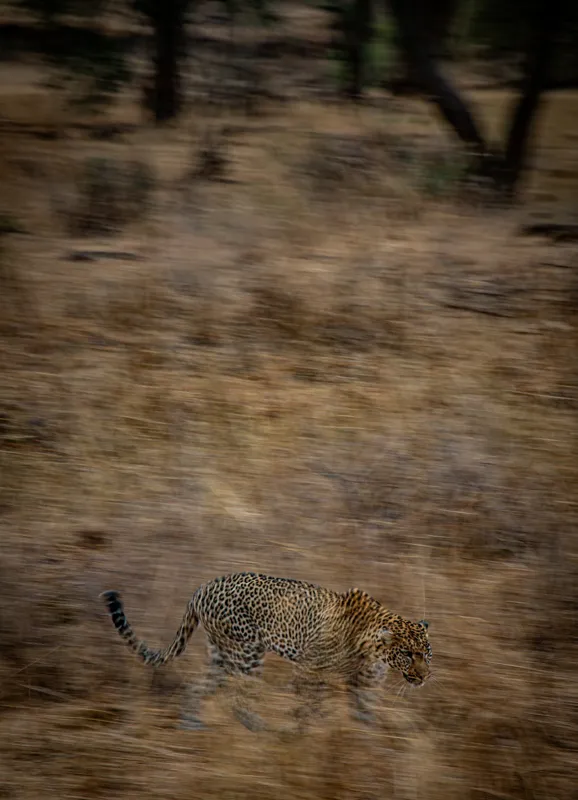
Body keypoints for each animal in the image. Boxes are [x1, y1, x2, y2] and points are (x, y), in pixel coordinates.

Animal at [101, 572, 432, 732]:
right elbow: (311, 705)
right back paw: (259, 729)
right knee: (238, 697)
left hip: (222, 655)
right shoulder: (309, 669)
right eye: (407, 654)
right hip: (247, 652)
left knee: (198, 686)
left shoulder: (365, 684)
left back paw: (191, 723)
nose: (425, 676)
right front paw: (303, 731)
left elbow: (365, 712)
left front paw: (372, 738)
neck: (375, 649)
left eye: (427, 653)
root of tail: (201, 588)